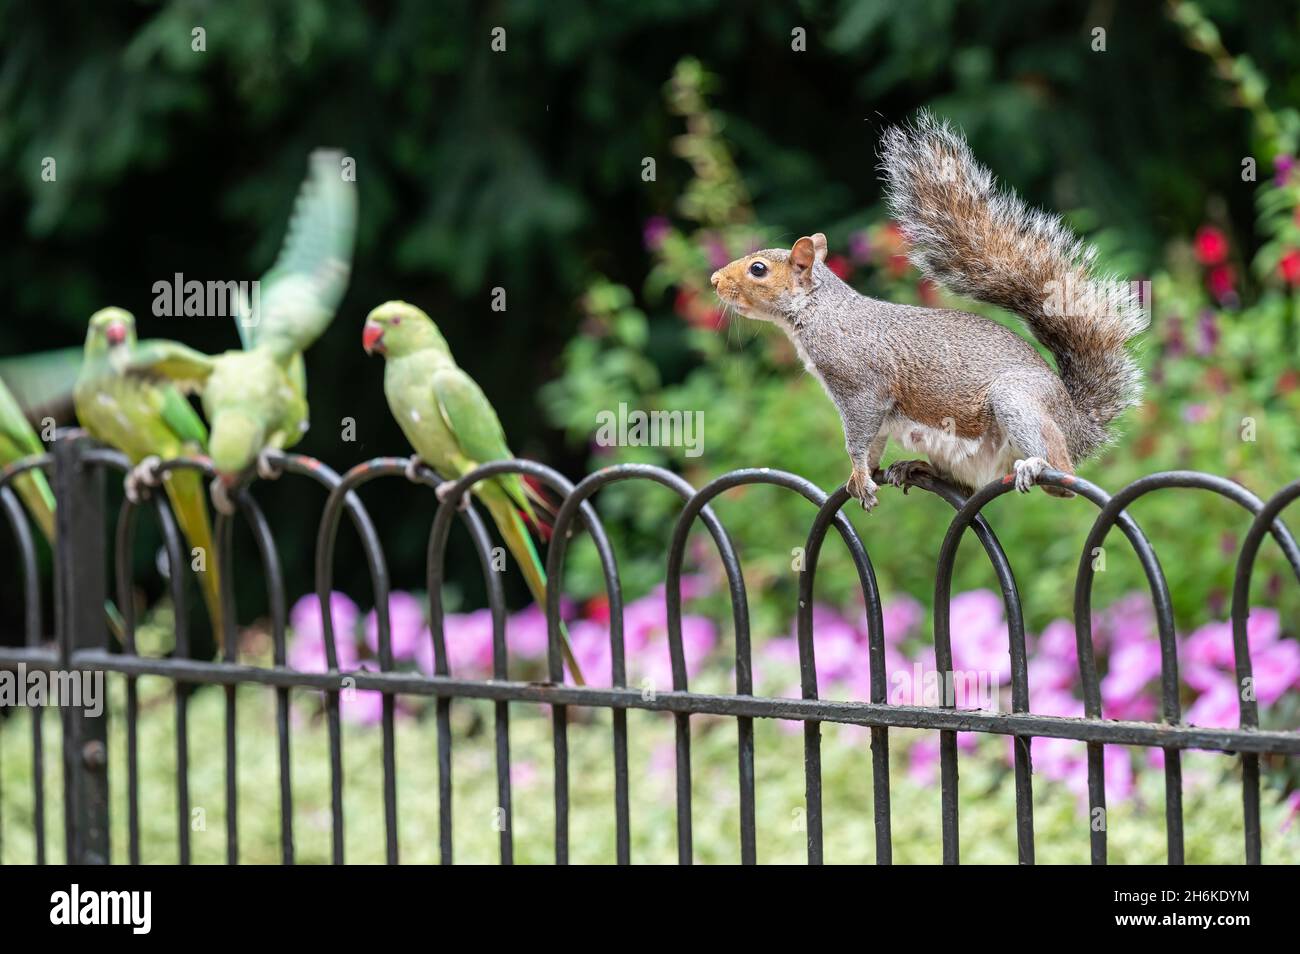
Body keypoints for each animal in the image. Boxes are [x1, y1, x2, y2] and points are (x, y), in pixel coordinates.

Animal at [712, 111, 1149, 512]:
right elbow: (874, 442)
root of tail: (1078, 426)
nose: (715, 280)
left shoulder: (862, 387)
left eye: (758, 270)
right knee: (969, 486)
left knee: (1061, 472)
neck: (819, 312)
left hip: (1019, 400)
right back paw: (917, 468)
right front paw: (864, 477)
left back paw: (1037, 466)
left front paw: (859, 475)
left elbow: (858, 437)